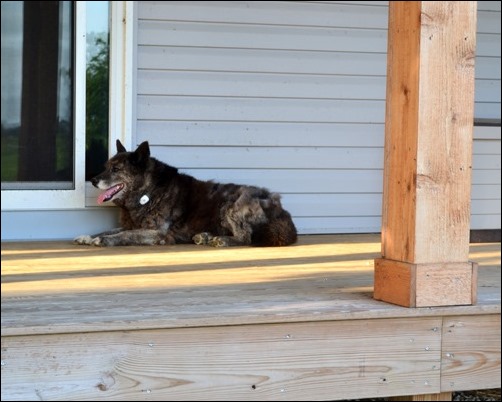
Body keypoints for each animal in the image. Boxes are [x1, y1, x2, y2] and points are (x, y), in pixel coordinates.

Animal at [72, 141, 296, 248]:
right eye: (106, 167)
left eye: (116, 169)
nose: (93, 180)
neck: (148, 191)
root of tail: (280, 208)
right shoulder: (132, 225)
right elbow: (106, 230)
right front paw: (88, 236)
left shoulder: (157, 232)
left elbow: (124, 235)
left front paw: (105, 241)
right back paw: (205, 236)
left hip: (232, 204)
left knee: (246, 237)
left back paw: (223, 241)